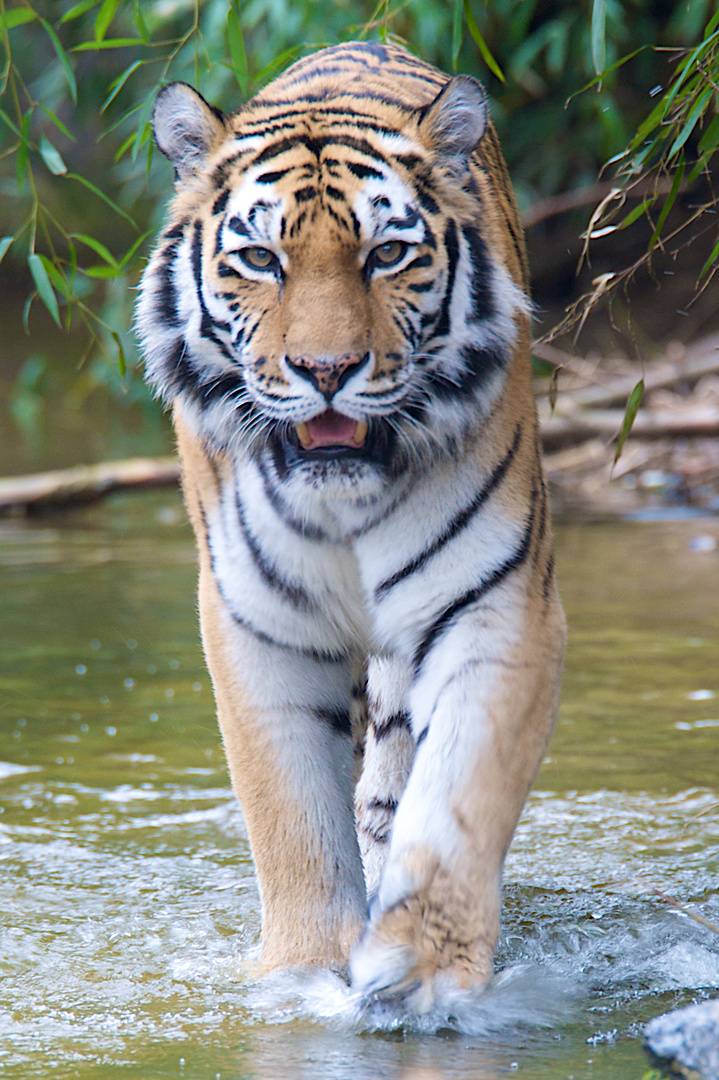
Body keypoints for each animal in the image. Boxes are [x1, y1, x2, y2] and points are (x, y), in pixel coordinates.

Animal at [136, 39, 565, 1002]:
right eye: (261, 259)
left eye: (388, 253)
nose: (326, 370)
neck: (344, 502)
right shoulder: (259, 624)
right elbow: (290, 817)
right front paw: (299, 974)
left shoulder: (493, 607)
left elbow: (456, 801)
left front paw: (424, 970)